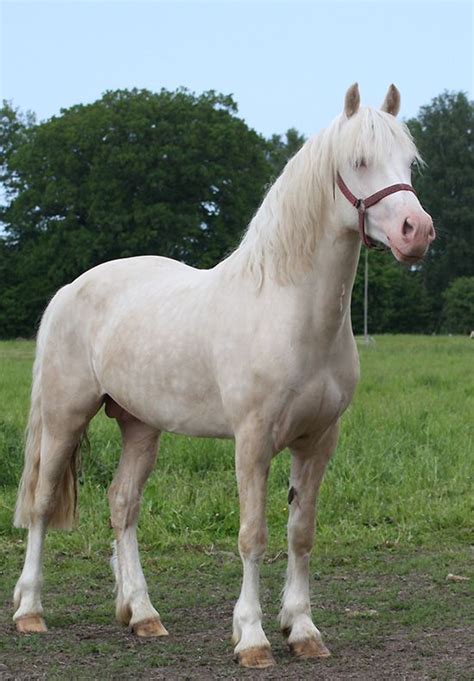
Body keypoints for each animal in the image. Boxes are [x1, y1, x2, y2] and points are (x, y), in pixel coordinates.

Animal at [12, 85, 434, 668]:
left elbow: (301, 533)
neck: (288, 310)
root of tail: (70, 289)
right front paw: (252, 638)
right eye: (358, 161)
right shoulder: (252, 441)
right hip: (64, 417)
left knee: (122, 504)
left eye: (409, 163)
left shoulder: (318, 440)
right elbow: (252, 536)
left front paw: (302, 629)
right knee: (42, 503)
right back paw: (30, 611)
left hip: (140, 426)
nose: (417, 232)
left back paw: (142, 614)